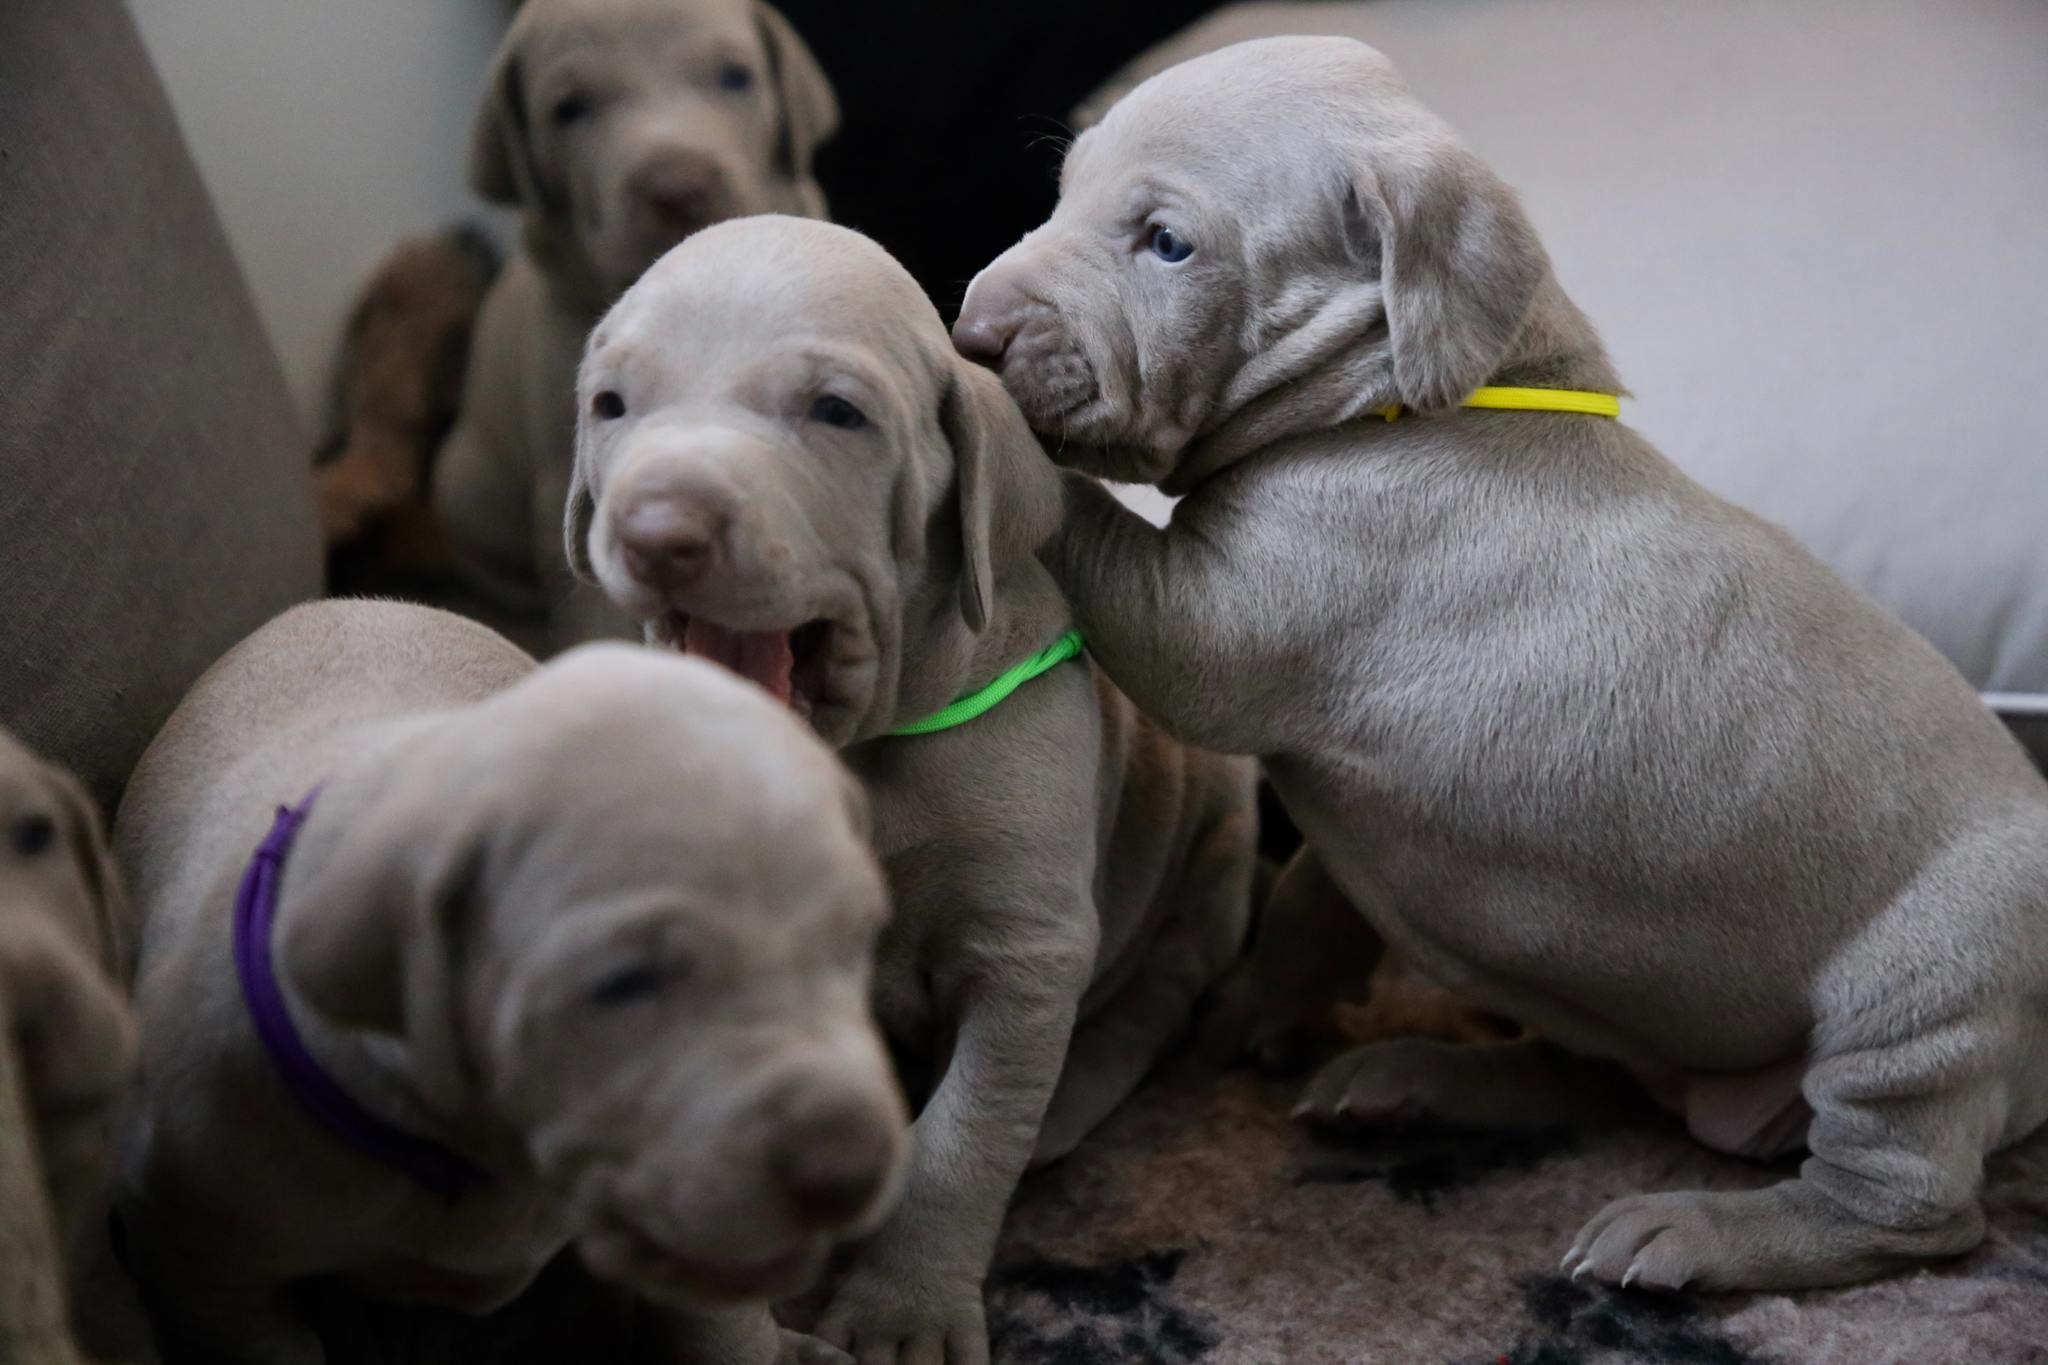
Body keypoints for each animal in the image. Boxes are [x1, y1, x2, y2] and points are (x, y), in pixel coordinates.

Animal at [565, 218, 1261, 1358]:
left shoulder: (1026, 951)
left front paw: (904, 1311)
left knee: (1164, 985)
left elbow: (965, 1136)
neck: (853, 755)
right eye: (612, 406)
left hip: (1213, 842)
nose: (658, 531)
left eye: (835, 413)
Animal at [950, 31, 2048, 1293]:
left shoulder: (1229, 612)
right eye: (1061, 193)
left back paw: (1680, 1234)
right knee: (1591, 1078)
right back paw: (1416, 1082)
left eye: (1166, 242)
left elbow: (1103, 544)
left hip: (1926, 999)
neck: (1413, 398)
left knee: (1902, 1206)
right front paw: (1259, 1006)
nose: (971, 329)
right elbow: (1308, 886)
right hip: (1626, 999)